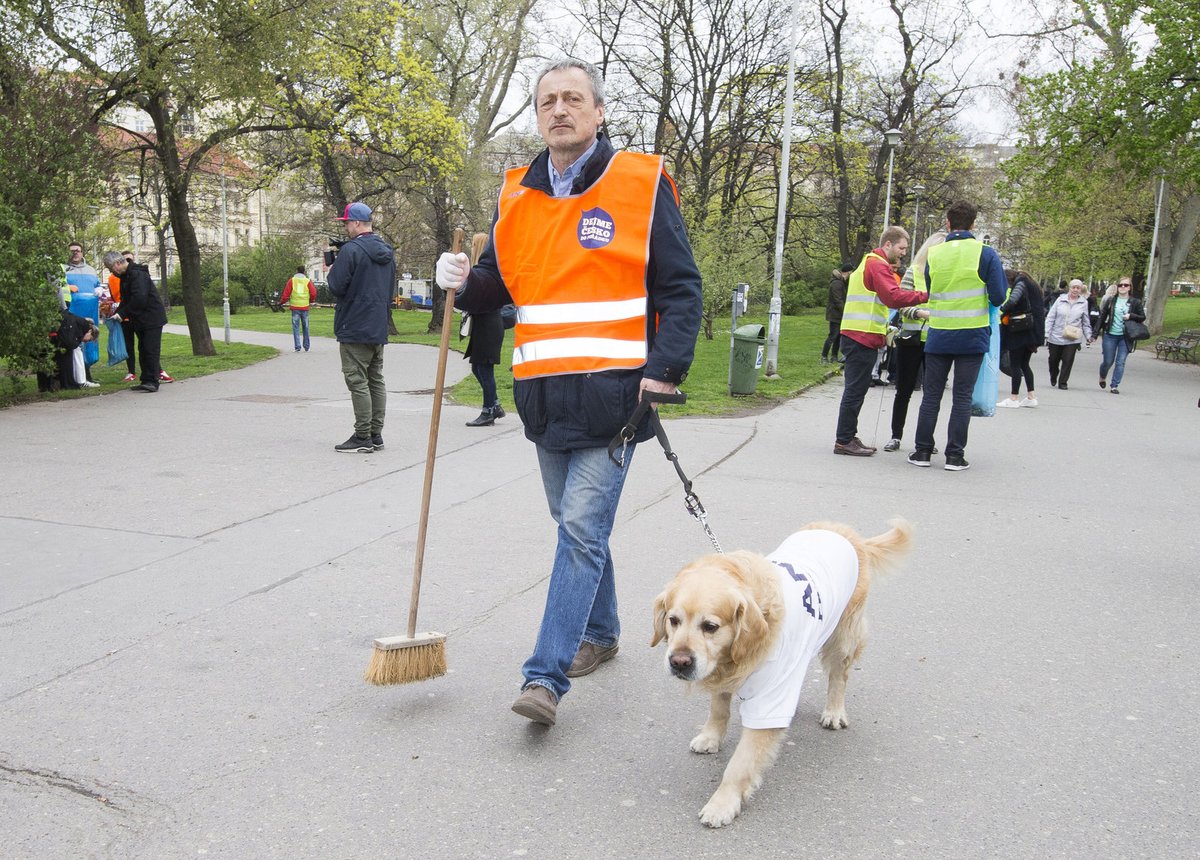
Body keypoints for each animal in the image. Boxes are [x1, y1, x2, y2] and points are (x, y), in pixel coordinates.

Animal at [652, 515, 912, 825]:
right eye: (673, 620)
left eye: (710, 626)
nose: (679, 662)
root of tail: (846, 533)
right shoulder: (724, 675)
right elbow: (718, 709)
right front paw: (710, 736)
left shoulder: (768, 701)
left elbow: (740, 763)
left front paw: (722, 803)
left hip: (843, 636)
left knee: (839, 676)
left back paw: (834, 711)